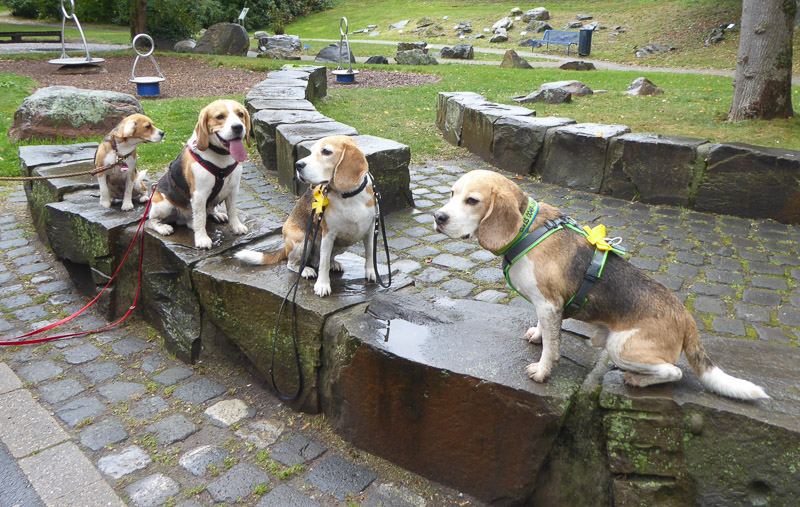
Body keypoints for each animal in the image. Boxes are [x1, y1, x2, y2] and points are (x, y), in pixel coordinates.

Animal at [147, 99, 252, 250]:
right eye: (220, 116)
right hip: (163, 205)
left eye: (240, 114)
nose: (238, 127)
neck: (220, 156)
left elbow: (232, 210)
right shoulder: (199, 195)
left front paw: (236, 226)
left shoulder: (233, 189)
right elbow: (201, 218)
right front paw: (202, 239)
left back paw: (216, 214)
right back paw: (163, 227)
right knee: (151, 221)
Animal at [234, 135, 378, 298]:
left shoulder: (370, 230)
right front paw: (322, 285)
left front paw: (372, 273)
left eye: (326, 151)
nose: (298, 165)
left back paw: (333, 264)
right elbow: (323, 264)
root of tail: (286, 247)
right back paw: (306, 270)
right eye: (311, 151)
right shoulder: (328, 234)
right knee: (294, 264)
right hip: (302, 241)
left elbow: (370, 254)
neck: (348, 196)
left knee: (321, 260)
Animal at [438, 171, 768, 400]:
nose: (438, 217)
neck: (527, 229)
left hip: (621, 346)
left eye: (472, 200)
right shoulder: (547, 306)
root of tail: (686, 317)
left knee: (673, 372)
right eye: (452, 193)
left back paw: (637, 379)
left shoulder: (549, 304)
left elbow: (552, 346)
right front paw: (538, 334)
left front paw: (543, 370)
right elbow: (546, 330)